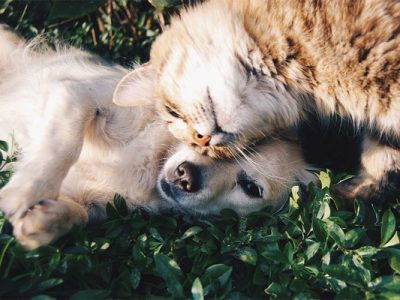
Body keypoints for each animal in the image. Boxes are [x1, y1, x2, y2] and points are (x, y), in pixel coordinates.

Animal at [0, 25, 314, 250]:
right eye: (202, 136)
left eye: (251, 188)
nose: (186, 176)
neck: (151, 164)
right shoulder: (76, 95)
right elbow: (63, 145)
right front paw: (24, 191)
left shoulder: (99, 203)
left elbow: (80, 214)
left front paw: (44, 222)